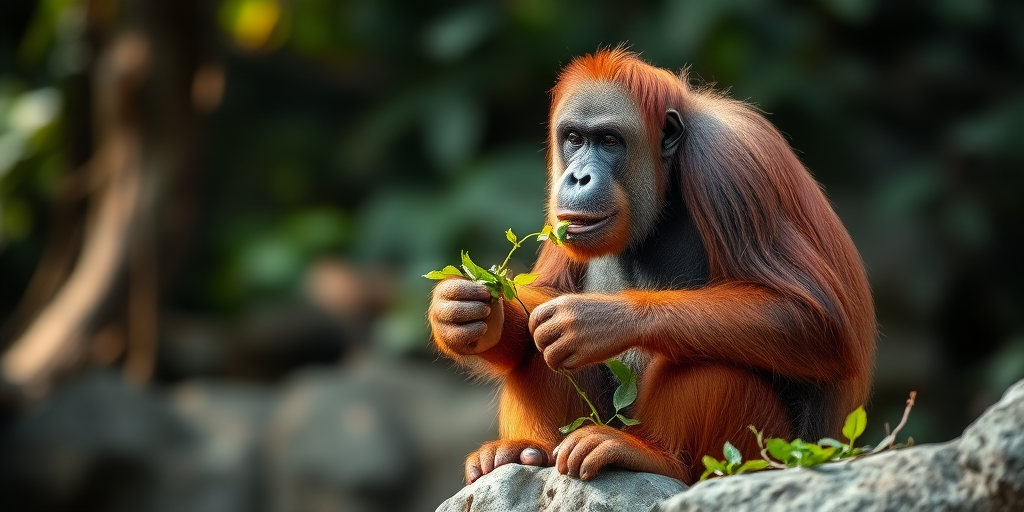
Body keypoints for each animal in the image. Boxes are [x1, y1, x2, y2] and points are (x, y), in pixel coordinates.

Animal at [428, 48, 875, 485]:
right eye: (574, 138)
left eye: (610, 141)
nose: (577, 177)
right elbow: (544, 300)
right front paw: (466, 315)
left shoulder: (732, 165)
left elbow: (817, 320)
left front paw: (600, 320)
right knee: (539, 342)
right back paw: (527, 450)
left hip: (769, 455)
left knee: (708, 356)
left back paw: (654, 455)